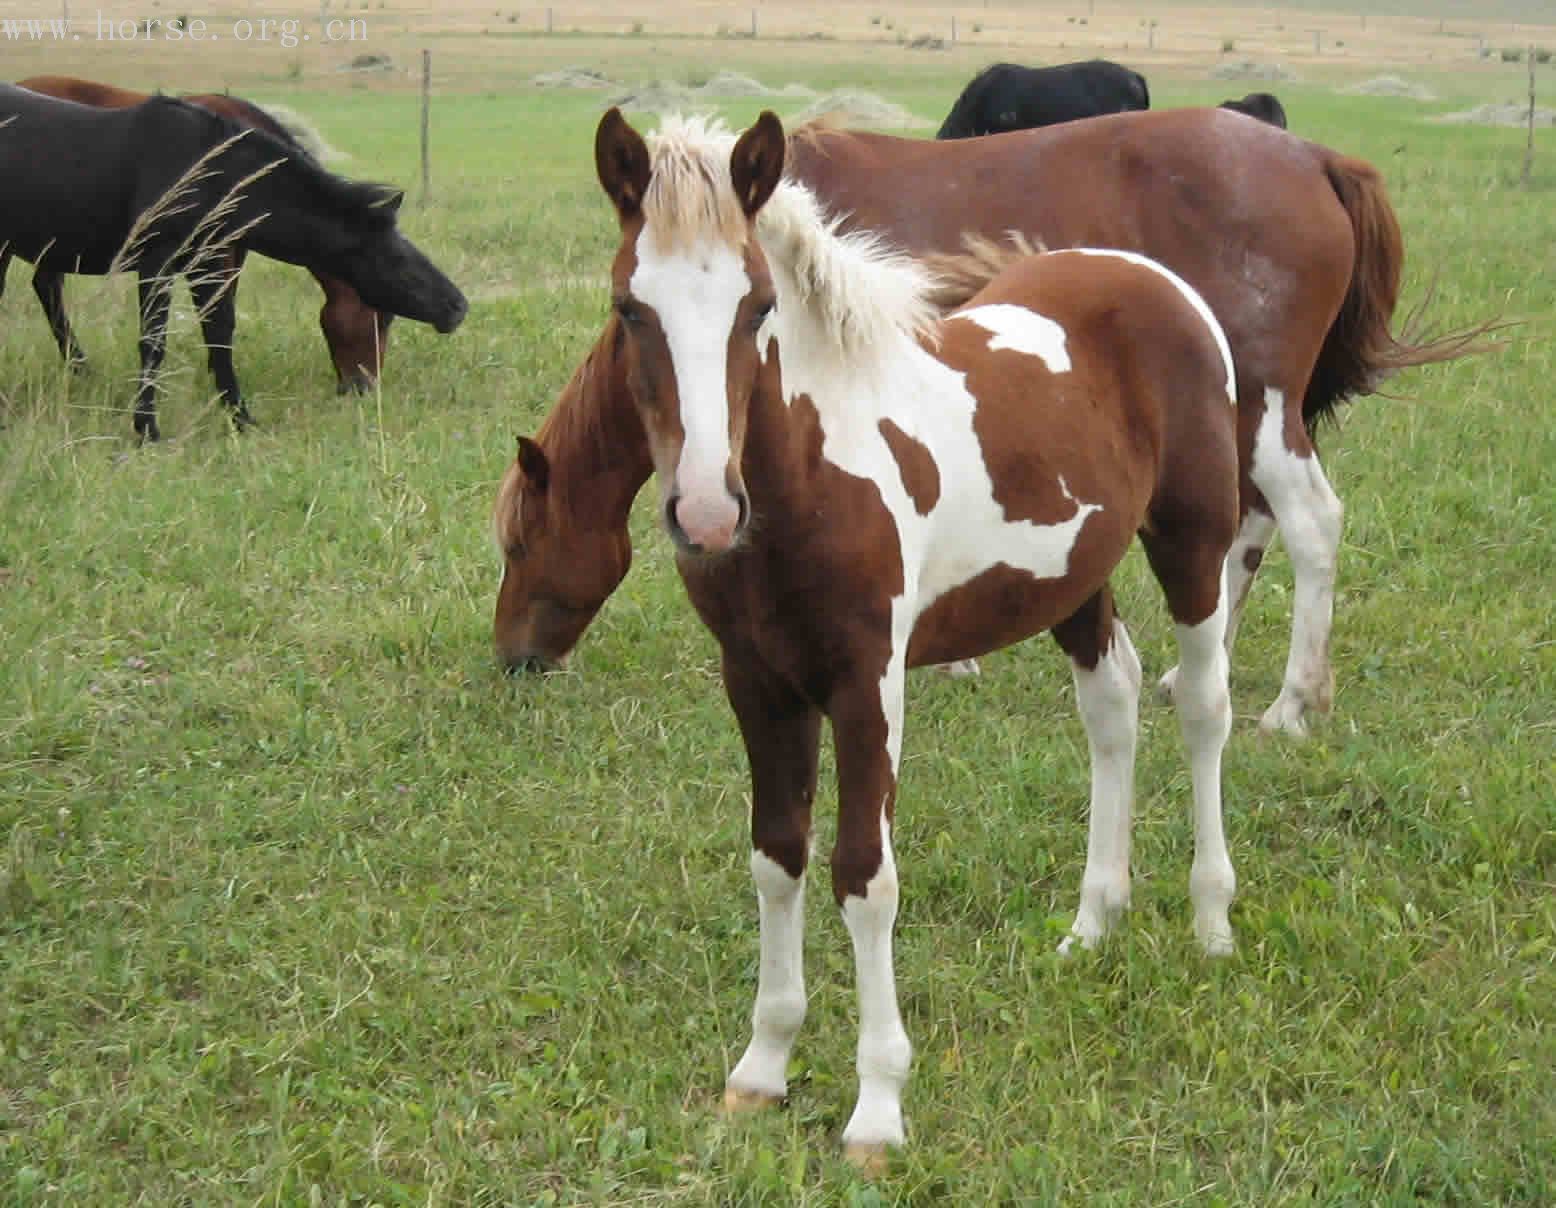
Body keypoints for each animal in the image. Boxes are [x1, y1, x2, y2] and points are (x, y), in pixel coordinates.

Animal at [494, 105, 1481, 734]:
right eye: (631, 307)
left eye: (517, 542)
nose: (513, 660)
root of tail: (1317, 157)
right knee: (1246, 531)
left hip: (1265, 411)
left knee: (1310, 525)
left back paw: (1290, 705)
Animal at [585, 110, 1238, 1170]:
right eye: (628, 309)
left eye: (757, 305)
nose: (707, 513)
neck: (813, 473)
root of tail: (1151, 277)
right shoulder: (757, 682)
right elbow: (777, 855)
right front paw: (761, 1070)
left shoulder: (867, 684)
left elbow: (865, 876)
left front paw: (878, 1109)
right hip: (1072, 575)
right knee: (1114, 702)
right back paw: (1092, 924)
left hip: (1195, 541)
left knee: (1204, 706)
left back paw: (1212, 919)